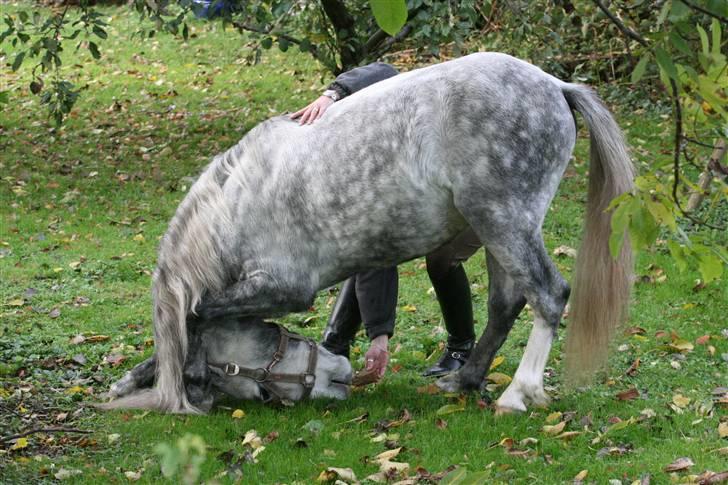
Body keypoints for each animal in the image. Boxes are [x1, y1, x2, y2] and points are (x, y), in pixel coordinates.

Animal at [101, 54, 632, 416]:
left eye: (258, 386)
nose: (338, 381)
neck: (237, 204)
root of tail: (555, 85)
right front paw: (134, 380)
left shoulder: (283, 288)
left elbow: (195, 314)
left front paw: (185, 377)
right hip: (497, 231)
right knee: (506, 304)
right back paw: (464, 381)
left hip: (505, 223)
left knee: (548, 295)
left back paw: (518, 393)